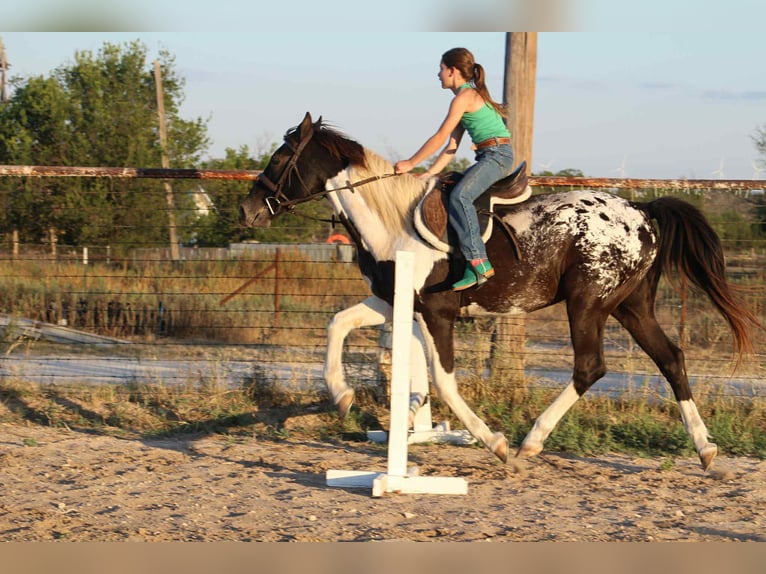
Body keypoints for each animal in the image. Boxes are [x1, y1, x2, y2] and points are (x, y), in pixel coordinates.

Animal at [240, 112, 760, 471]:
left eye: (281, 158)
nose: (249, 211)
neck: (391, 221)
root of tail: (642, 212)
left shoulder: (438, 313)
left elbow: (444, 380)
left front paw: (493, 442)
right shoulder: (393, 302)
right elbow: (338, 324)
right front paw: (345, 396)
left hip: (588, 304)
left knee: (591, 366)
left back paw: (531, 441)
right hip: (629, 306)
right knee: (670, 357)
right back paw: (706, 449)